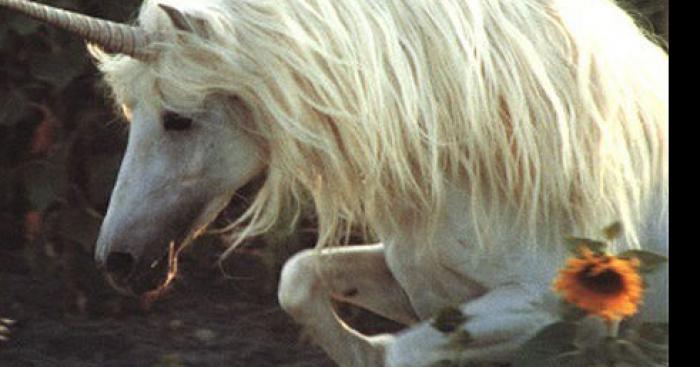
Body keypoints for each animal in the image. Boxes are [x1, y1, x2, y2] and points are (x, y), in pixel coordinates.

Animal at [1, 1, 668, 366]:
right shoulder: (426, 291)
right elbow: (299, 278)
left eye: (178, 119)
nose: (116, 260)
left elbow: (398, 353)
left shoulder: (568, 312)